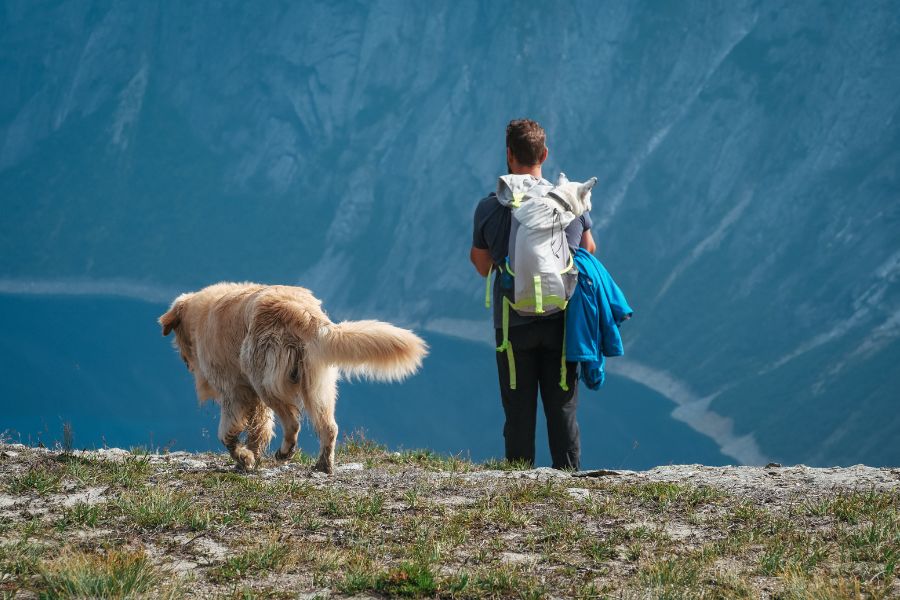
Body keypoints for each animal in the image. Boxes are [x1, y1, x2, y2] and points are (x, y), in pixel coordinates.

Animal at [159, 282, 428, 474]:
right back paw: (323, 465)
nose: (186, 362)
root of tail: (301, 312)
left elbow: (228, 432)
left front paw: (243, 457)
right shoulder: (252, 397)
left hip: (265, 379)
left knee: (292, 421)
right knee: (328, 426)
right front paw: (251, 456)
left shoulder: (233, 391)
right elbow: (258, 428)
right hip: (317, 383)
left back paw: (286, 451)